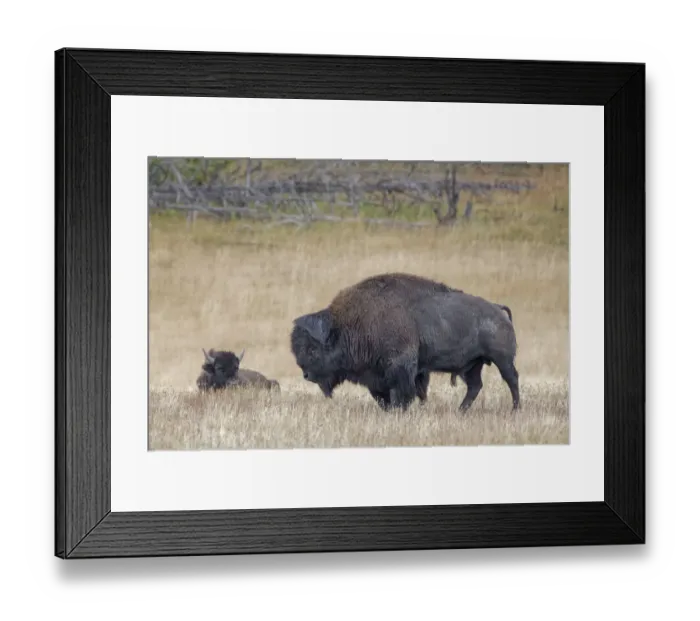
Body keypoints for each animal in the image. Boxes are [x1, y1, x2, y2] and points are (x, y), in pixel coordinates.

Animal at [290, 273, 519, 412]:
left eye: (312, 349)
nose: (306, 375)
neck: (350, 324)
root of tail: (498, 309)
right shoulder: (376, 376)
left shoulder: (401, 367)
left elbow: (403, 393)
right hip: (472, 365)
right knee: (475, 386)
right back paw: (460, 411)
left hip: (502, 360)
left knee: (511, 379)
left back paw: (515, 409)